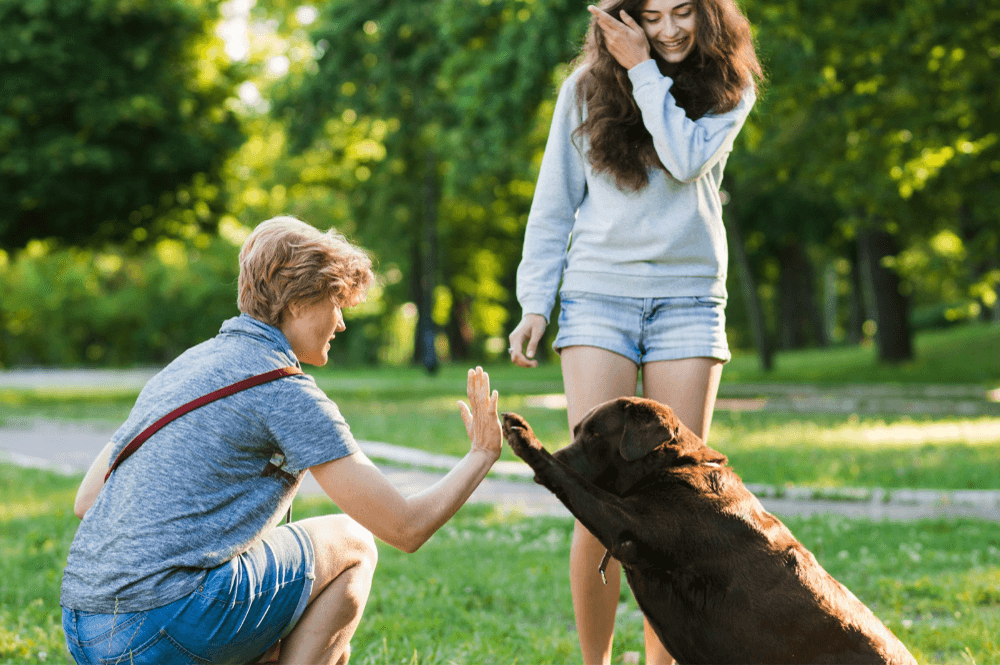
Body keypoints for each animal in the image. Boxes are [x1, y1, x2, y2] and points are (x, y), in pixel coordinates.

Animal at [504, 396, 916, 660]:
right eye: (577, 431)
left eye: (593, 435)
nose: (561, 452)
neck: (673, 466)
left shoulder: (629, 527)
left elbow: (574, 483)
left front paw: (525, 438)